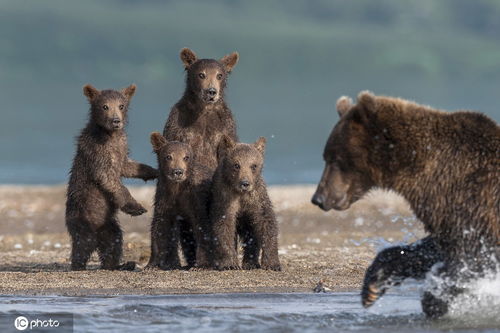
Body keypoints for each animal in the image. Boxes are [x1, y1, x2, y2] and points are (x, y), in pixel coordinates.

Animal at [312, 91, 500, 316]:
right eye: (326, 156)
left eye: (335, 158)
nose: (318, 198)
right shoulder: (447, 211)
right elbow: (431, 248)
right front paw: (373, 287)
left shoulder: (472, 199)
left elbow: (473, 257)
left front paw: (436, 300)